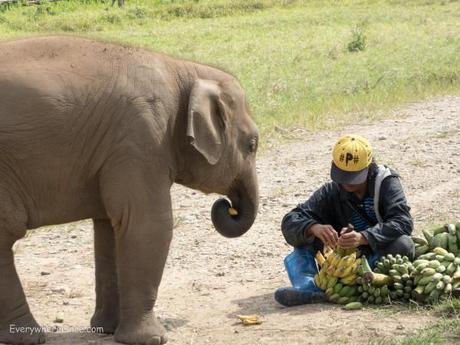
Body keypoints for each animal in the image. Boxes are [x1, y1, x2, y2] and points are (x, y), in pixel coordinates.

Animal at [0, 35, 258, 344]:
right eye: (252, 144)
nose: (228, 206)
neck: (183, 70)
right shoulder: (141, 138)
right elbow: (147, 224)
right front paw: (150, 339)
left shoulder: (115, 149)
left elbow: (110, 231)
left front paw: (106, 330)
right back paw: (28, 337)